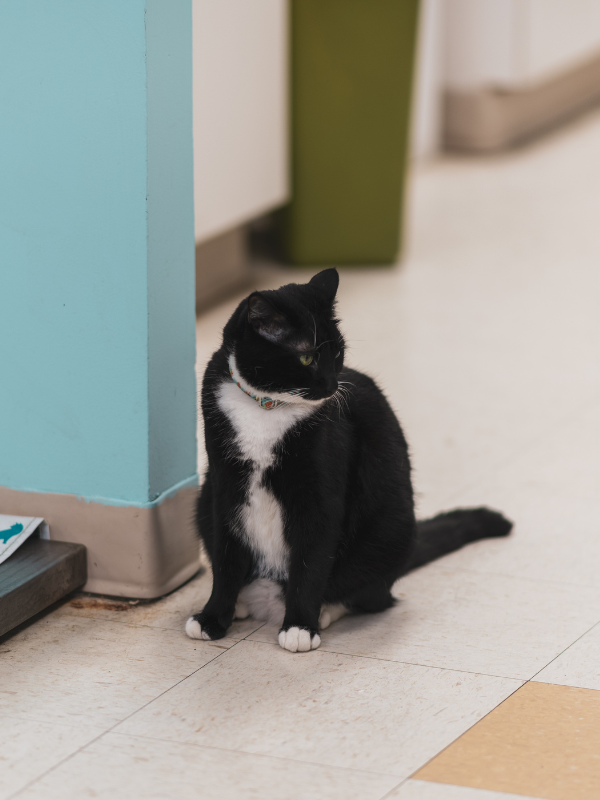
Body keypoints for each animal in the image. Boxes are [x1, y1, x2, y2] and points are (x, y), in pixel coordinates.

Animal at [186, 268, 510, 648]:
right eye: (307, 357)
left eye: (339, 351)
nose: (331, 386)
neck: (266, 408)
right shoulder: (225, 484)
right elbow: (225, 557)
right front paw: (212, 617)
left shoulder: (319, 492)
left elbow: (311, 560)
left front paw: (300, 626)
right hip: (203, 500)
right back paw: (241, 603)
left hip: (391, 533)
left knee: (372, 596)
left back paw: (325, 611)